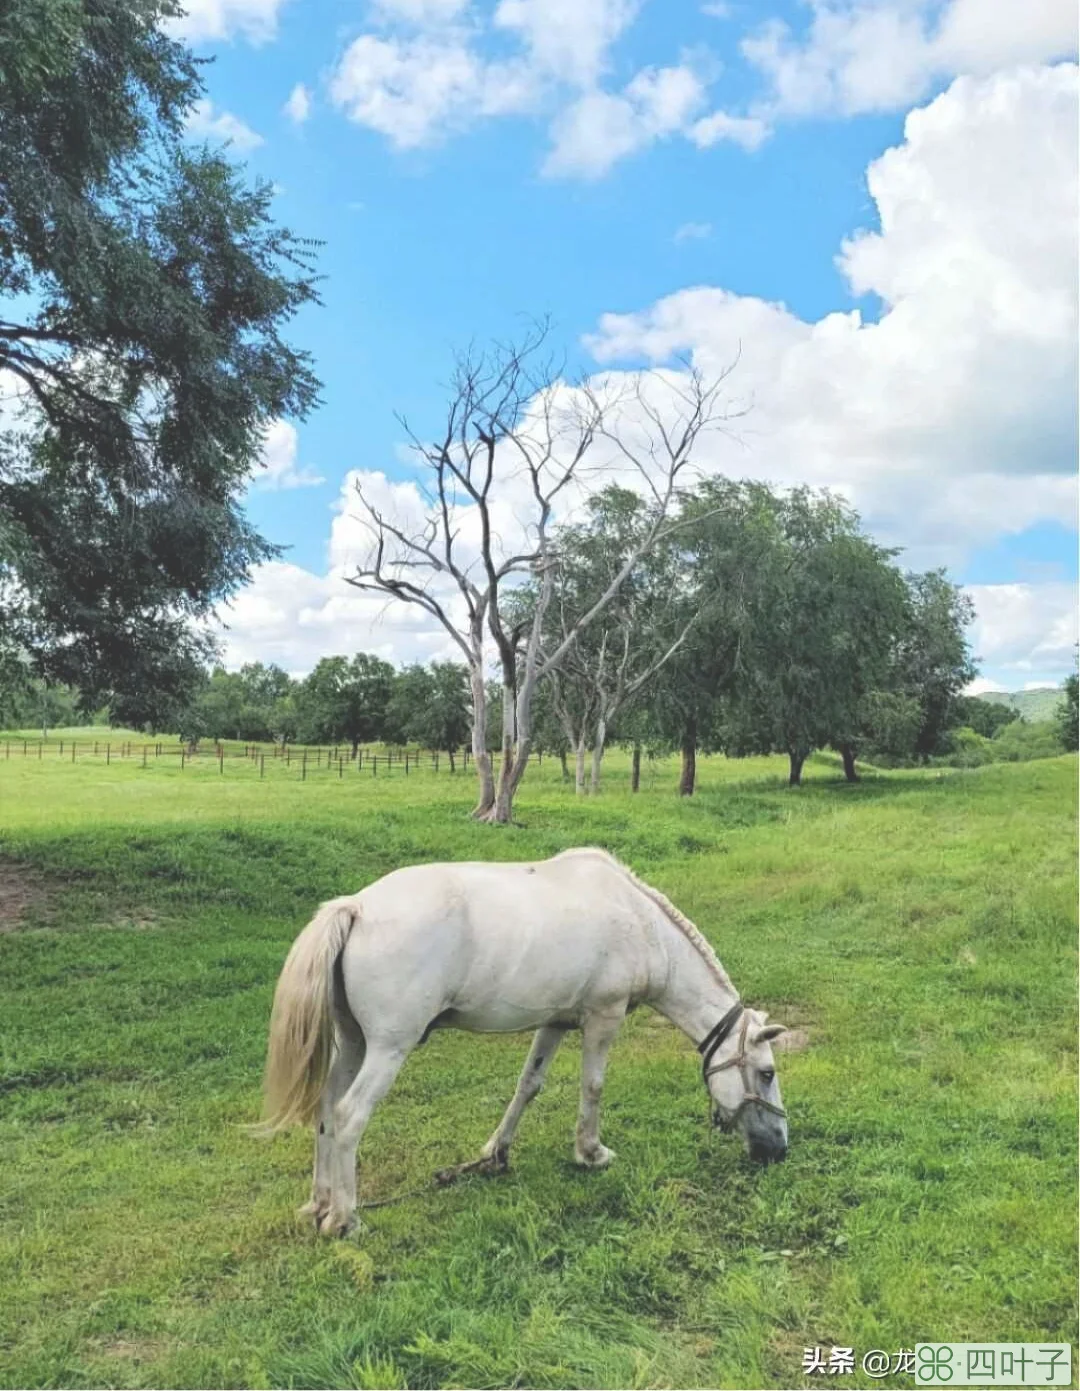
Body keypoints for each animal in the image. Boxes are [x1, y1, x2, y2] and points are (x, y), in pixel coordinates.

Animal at [258, 840, 790, 1235]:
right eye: (766, 1073)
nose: (779, 1150)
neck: (640, 923)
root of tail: (356, 908)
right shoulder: (604, 1016)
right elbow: (593, 1087)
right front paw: (590, 1153)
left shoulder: (554, 1023)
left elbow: (527, 1086)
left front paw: (496, 1154)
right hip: (388, 1048)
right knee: (349, 1116)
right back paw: (344, 1219)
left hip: (354, 1043)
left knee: (327, 1111)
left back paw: (321, 1203)